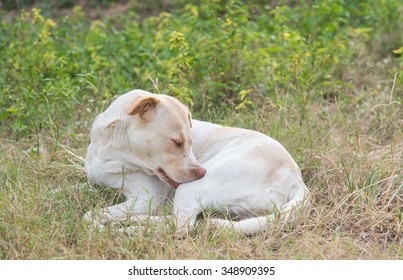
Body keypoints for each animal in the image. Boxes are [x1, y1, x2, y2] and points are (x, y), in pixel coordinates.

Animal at [83, 89, 308, 234]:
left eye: (190, 142)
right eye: (177, 142)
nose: (201, 172)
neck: (111, 151)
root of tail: (296, 180)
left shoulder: (146, 198)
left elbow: (91, 213)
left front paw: (99, 223)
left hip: (191, 188)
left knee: (180, 226)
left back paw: (127, 228)